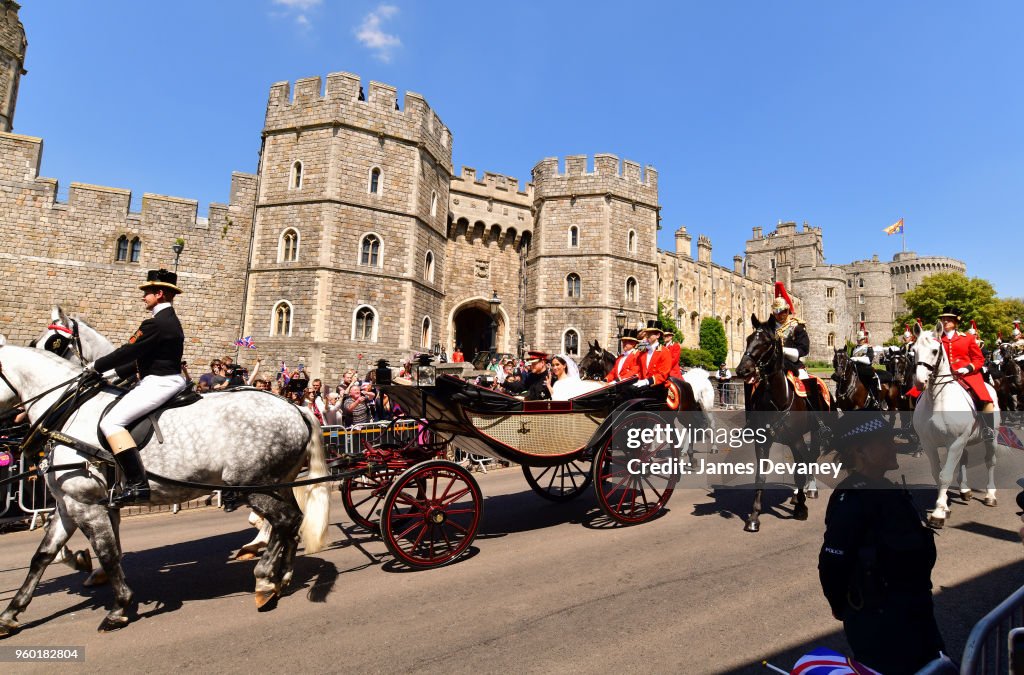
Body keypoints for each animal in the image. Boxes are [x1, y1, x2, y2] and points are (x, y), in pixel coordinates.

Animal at [0, 340, 327, 635]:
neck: (70, 413)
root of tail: (295, 408)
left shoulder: (88, 506)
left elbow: (107, 555)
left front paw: (119, 608)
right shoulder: (69, 504)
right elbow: (42, 556)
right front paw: (11, 613)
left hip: (254, 486)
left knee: (285, 521)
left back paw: (265, 580)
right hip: (277, 484)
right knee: (292, 523)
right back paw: (282, 577)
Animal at [733, 315, 827, 532]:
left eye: (767, 342)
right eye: (749, 338)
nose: (742, 370)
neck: (777, 399)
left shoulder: (797, 439)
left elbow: (799, 472)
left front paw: (801, 509)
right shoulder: (762, 441)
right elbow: (760, 475)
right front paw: (754, 517)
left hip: (815, 432)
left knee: (810, 458)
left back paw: (809, 491)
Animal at [913, 325, 999, 528]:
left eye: (935, 351)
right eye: (913, 349)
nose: (919, 382)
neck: (937, 401)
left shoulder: (955, 441)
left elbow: (945, 475)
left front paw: (938, 513)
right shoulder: (929, 443)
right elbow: (937, 473)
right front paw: (944, 506)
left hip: (992, 437)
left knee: (990, 461)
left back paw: (990, 495)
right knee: (964, 458)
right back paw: (965, 489)